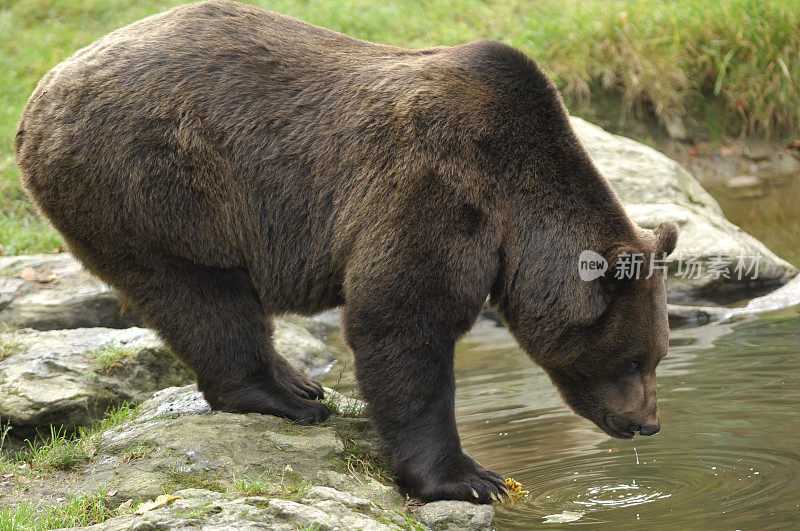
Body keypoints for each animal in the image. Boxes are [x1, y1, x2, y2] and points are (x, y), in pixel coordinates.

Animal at [14, 0, 676, 504]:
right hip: (154, 183)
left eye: (657, 356)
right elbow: (402, 318)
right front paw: (469, 478)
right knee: (202, 295)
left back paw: (301, 384)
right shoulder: (440, 186)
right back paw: (282, 397)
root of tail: (43, 91)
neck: (518, 208)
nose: (647, 424)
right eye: (632, 358)